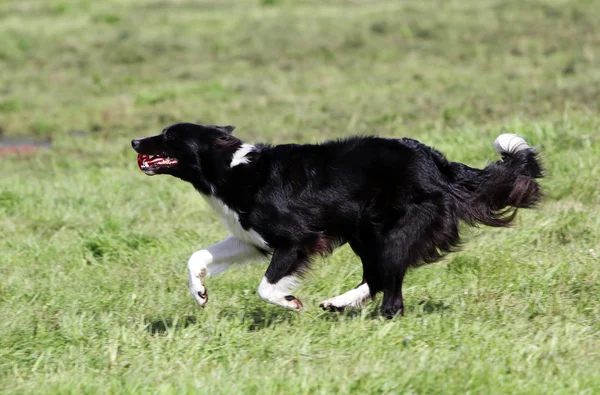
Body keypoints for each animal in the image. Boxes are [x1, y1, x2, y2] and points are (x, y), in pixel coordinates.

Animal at [132, 124, 544, 318]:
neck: (231, 170)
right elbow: (197, 257)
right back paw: (341, 304)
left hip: (394, 230)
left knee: (389, 283)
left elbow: (265, 286)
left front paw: (290, 301)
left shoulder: (297, 239)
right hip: (366, 231)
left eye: (168, 135)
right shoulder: (251, 237)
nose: (135, 142)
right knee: (378, 276)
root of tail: (438, 164)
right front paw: (199, 293)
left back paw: (372, 313)